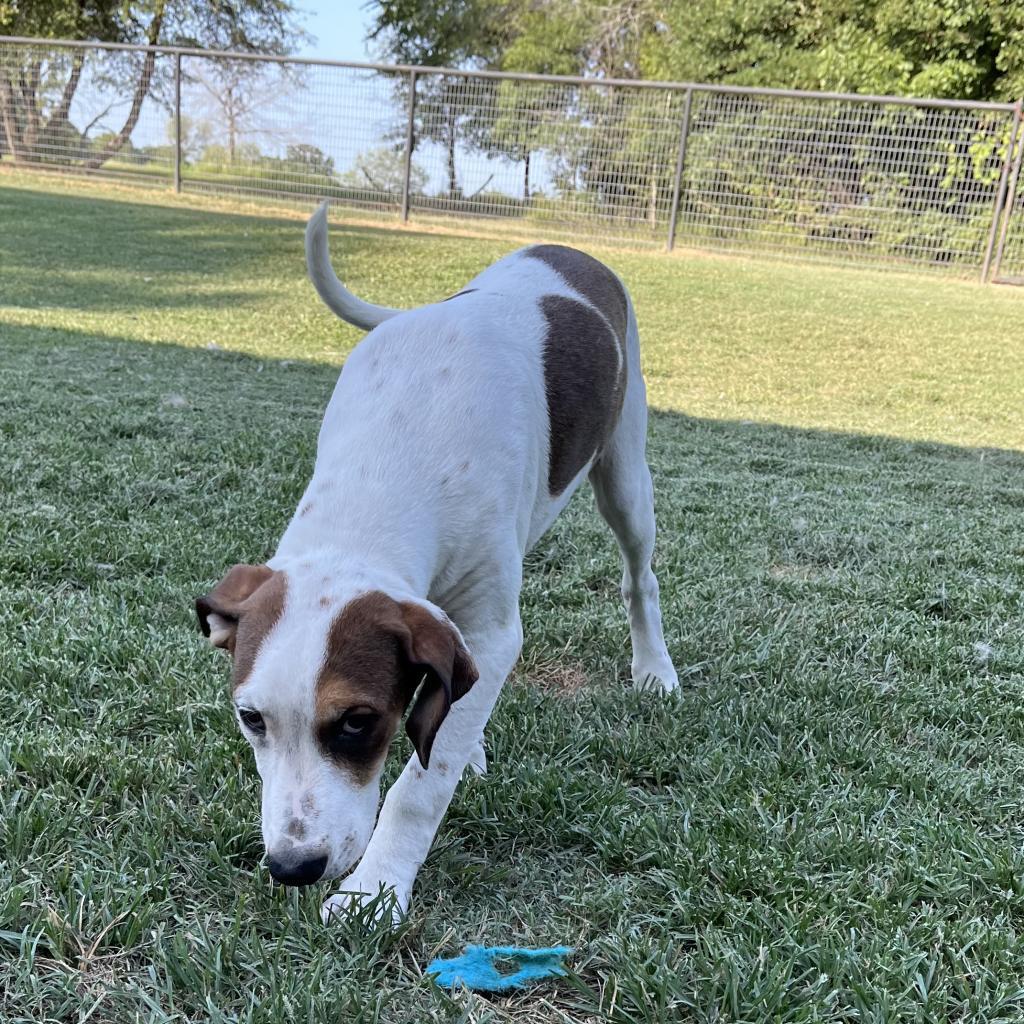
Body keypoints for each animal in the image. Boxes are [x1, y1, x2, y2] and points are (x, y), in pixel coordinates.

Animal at [197, 203, 679, 925]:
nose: (292, 867)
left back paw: (654, 669)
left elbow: (420, 785)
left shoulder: (494, 631)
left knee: (638, 577)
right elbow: (450, 701)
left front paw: (374, 891)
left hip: (625, 471)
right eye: (251, 719)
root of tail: (570, 251)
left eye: (358, 721)